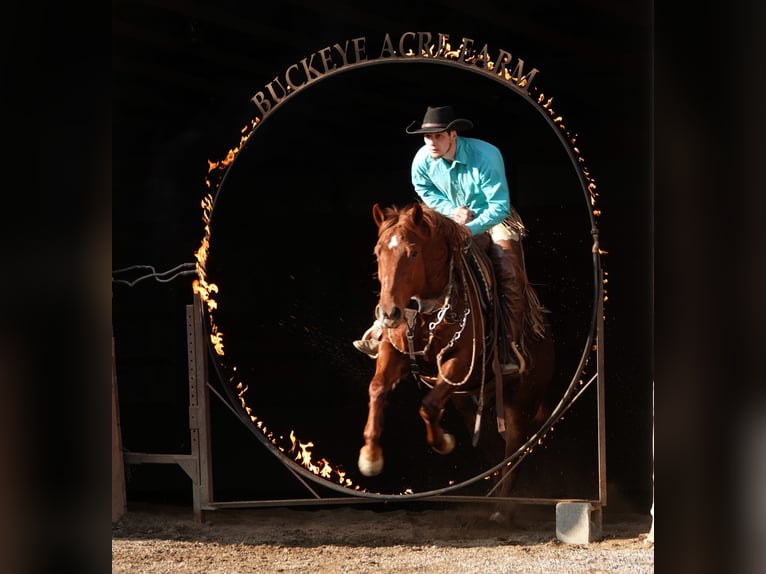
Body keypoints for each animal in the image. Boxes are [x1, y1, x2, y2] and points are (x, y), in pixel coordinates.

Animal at [356, 204, 556, 508]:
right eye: (378, 253)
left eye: (413, 253)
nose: (389, 313)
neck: (426, 309)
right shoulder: (395, 350)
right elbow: (378, 387)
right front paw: (370, 457)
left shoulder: (461, 361)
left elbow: (428, 405)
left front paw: (443, 442)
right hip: (469, 402)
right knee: (492, 447)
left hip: (520, 402)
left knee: (513, 453)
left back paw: (502, 509)